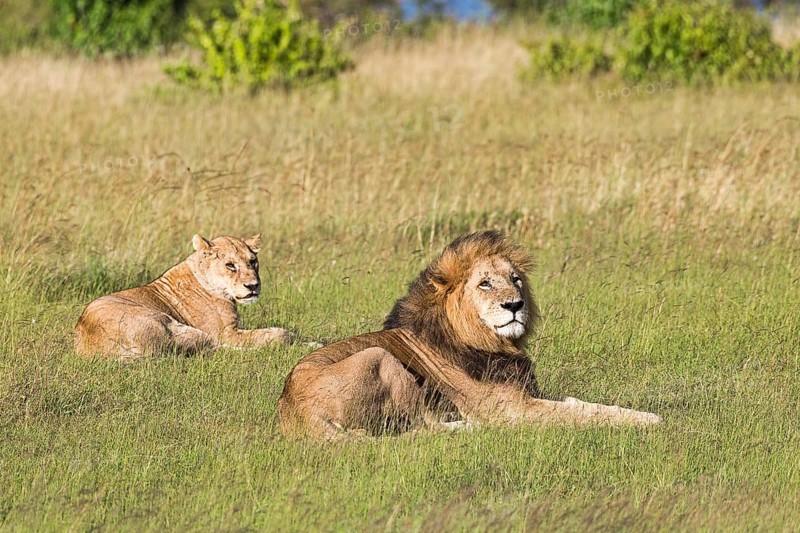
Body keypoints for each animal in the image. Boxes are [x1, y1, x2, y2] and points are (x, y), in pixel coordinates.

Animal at [75, 234, 294, 359]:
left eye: (253, 261)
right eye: (230, 265)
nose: (253, 286)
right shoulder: (226, 333)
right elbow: (277, 334)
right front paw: (289, 336)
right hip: (180, 329)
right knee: (214, 349)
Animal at [278, 230, 661, 440]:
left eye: (516, 279)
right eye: (485, 283)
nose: (515, 304)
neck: (492, 343)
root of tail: (295, 413)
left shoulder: (528, 395)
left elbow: (583, 405)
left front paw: (639, 414)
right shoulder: (512, 411)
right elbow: (582, 416)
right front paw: (652, 421)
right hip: (380, 357)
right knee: (419, 427)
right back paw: (466, 428)